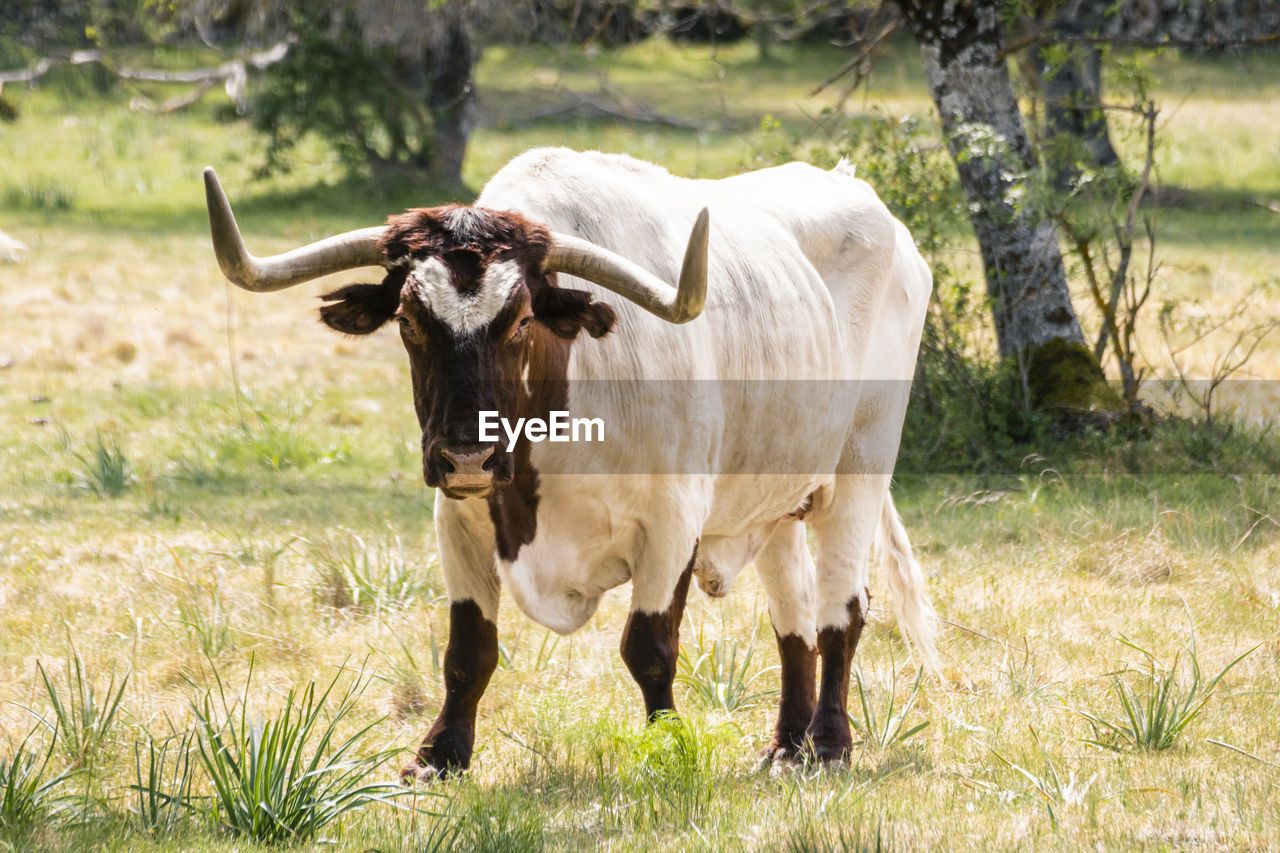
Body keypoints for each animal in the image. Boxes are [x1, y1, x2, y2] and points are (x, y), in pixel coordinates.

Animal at [202, 147, 942, 778]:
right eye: (409, 321)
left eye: (521, 320)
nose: (468, 454)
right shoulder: (460, 519)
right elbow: (468, 651)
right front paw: (440, 756)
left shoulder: (672, 523)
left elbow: (649, 648)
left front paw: (668, 749)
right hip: (775, 495)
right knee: (794, 618)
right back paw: (787, 745)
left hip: (861, 465)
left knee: (842, 610)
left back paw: (830, 745)